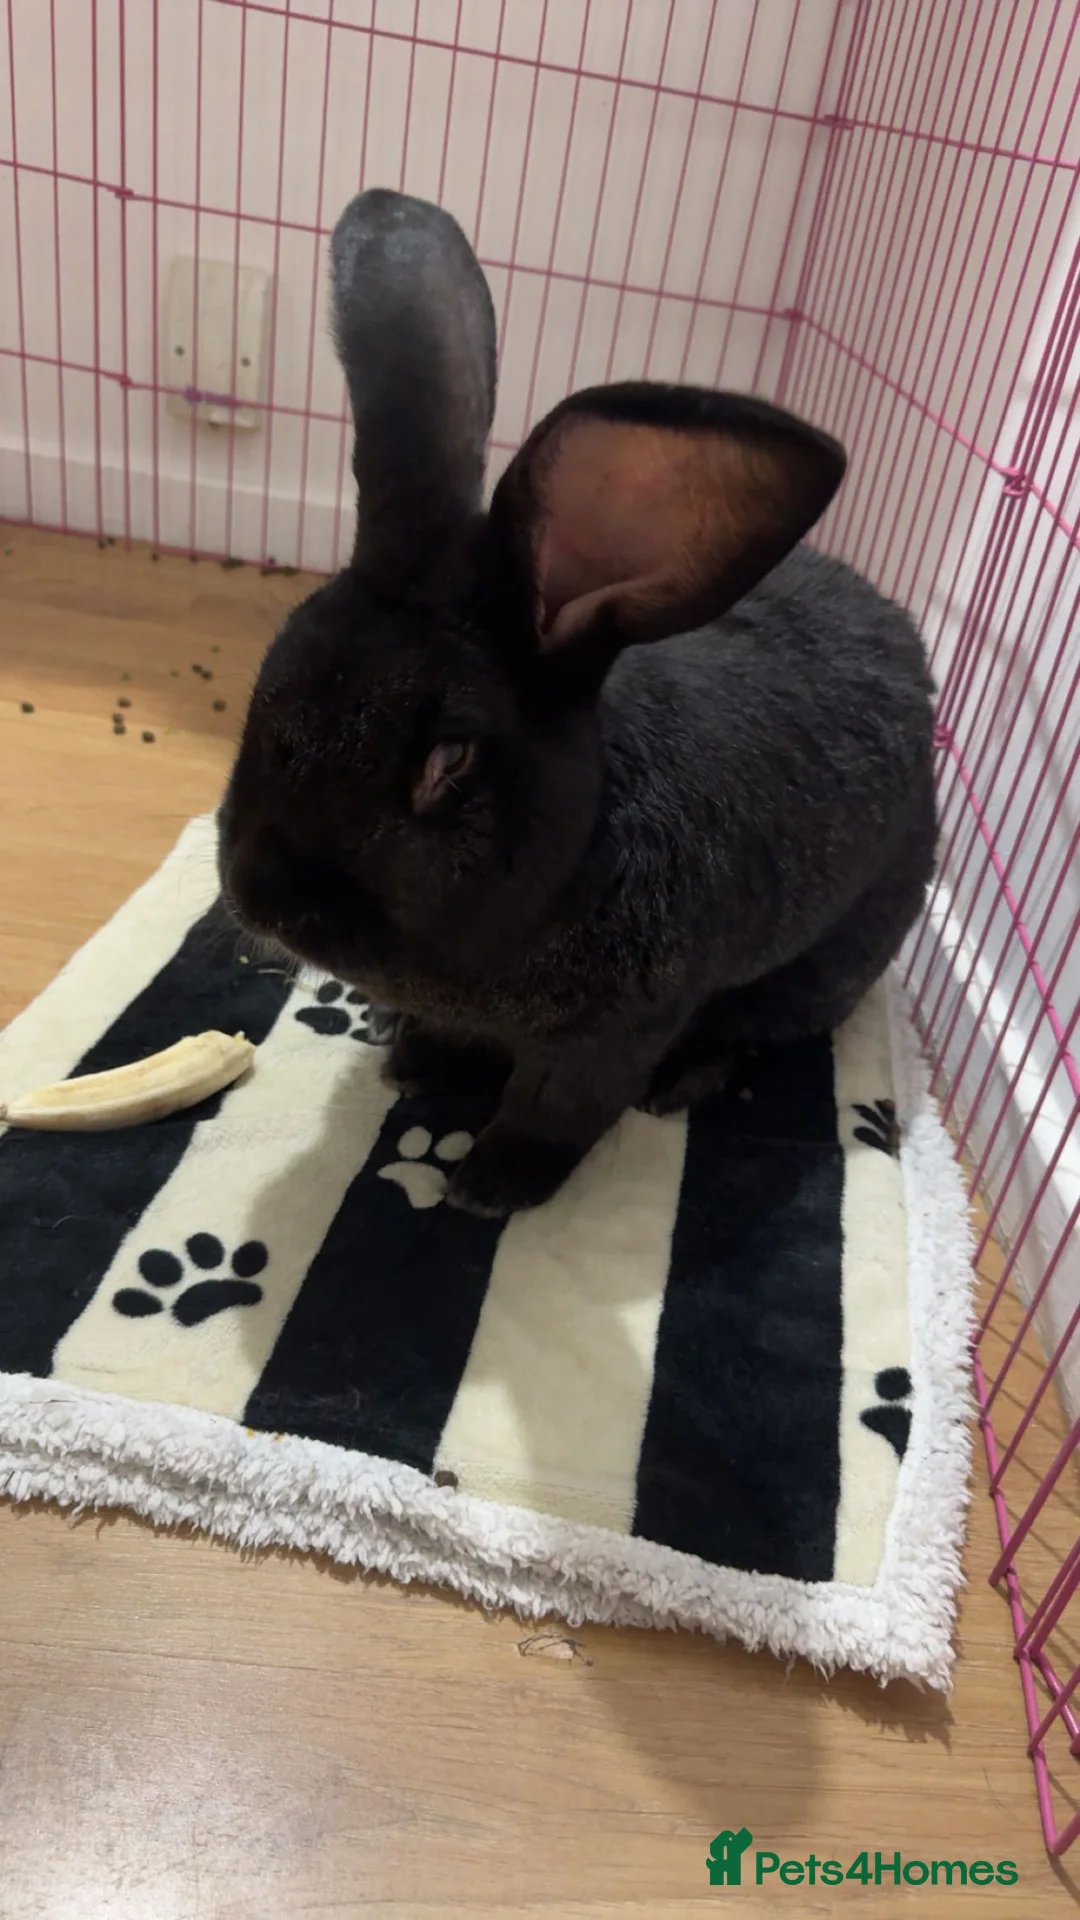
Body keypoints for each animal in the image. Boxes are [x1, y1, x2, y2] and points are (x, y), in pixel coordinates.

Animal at [218, 188, 937, 1218]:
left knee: (757, 1028)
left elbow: (552, 1113)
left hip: (832, 957)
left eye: (449, 760)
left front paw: (485, 1186)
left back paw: (682, 1083)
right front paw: (414, 1067)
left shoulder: (610, 1037)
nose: (262, 897)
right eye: (268, 700)